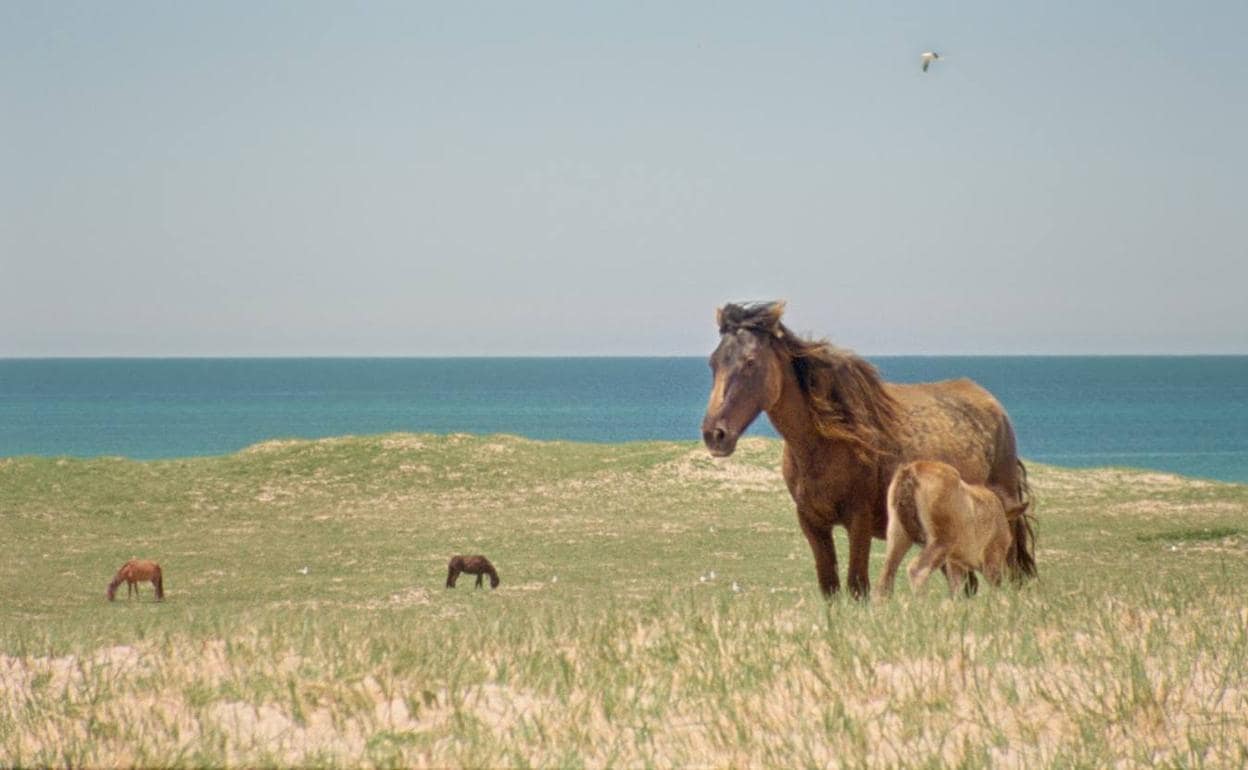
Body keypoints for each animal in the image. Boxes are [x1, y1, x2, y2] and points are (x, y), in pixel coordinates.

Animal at [873, 459, 1028, 596]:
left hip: (898, 535)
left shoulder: (955, 562)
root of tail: (911, 471)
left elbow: (956, 589)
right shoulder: (992, 559)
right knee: (917, 571)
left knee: (885, 577)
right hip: (940, 542)